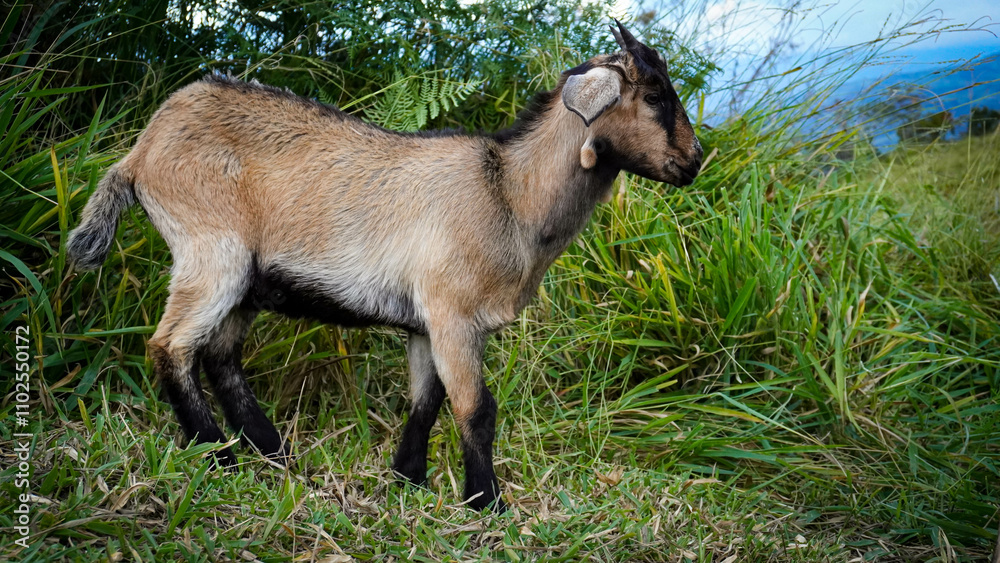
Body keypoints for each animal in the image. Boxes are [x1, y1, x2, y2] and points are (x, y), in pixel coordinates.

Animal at [67, 21, 702, 512]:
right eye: (654, 96)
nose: (694, 161)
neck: (510, 195)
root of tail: (142, 151)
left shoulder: (427, 323)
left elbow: (427, 402)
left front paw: (408, 480)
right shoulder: (453, 314)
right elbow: (476, 408)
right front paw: (486, 503)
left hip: (247, 279)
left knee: (222, 356)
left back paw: (273, 454)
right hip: (211, 250)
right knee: (171, 346)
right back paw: (218, 455)